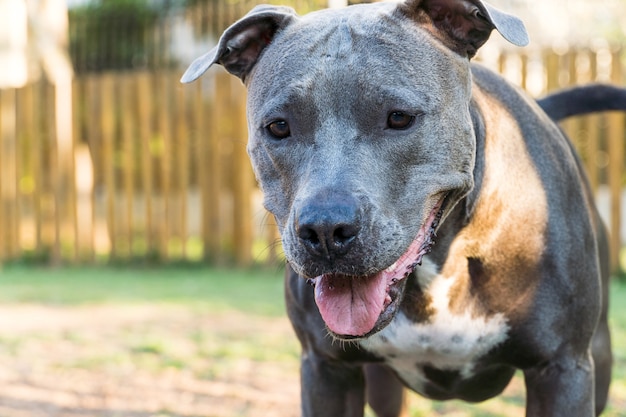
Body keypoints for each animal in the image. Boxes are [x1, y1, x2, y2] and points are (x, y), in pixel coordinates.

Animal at [180, 1, 616, 414]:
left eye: (400, 118)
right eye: (278, 127)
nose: (325, 230)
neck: (441, 262)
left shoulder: (562, 370)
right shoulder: (326, 370)